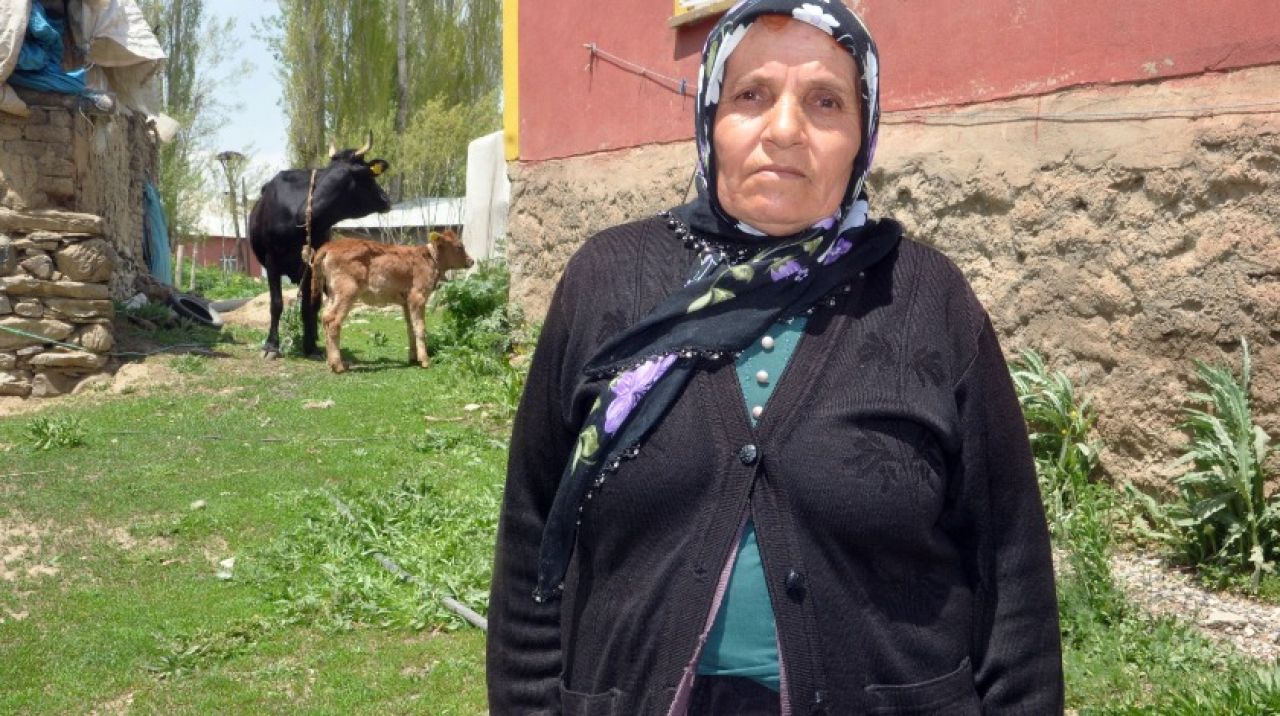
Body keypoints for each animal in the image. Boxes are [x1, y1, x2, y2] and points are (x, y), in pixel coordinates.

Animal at [248, 132, 392, 359]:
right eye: (369, 176)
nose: (387, 199)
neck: (299, 216)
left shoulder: (311, 263)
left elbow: (308, 306)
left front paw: (310, 346)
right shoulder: (272, 262)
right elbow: (276, 304)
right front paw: (271, 345)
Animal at [309, 229, 474, 374]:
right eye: (459, 246)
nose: (471, 261)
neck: (429, 259)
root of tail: (330, 245)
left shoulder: (406, 301)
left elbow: (410, 327)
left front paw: (413, 358)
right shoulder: (418, 296)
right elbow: (420, 328)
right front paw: (425, 360)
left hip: (332, 294)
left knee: (325, 317)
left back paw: (331, 362)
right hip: (347, 291)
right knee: (333, 320)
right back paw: (338, 366)